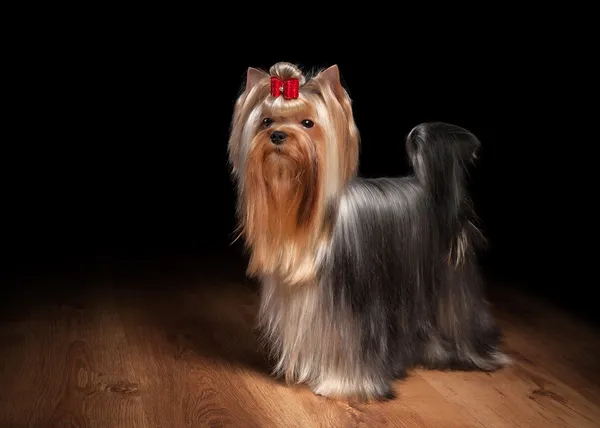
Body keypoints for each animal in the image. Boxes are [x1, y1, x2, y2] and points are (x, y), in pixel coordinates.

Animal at [227, 61, 508, 402]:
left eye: (308, 123)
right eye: (266, 120)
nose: (278, 135)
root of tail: (432, 191)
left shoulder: (350, 314)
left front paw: (342, 385)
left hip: (450, 283)